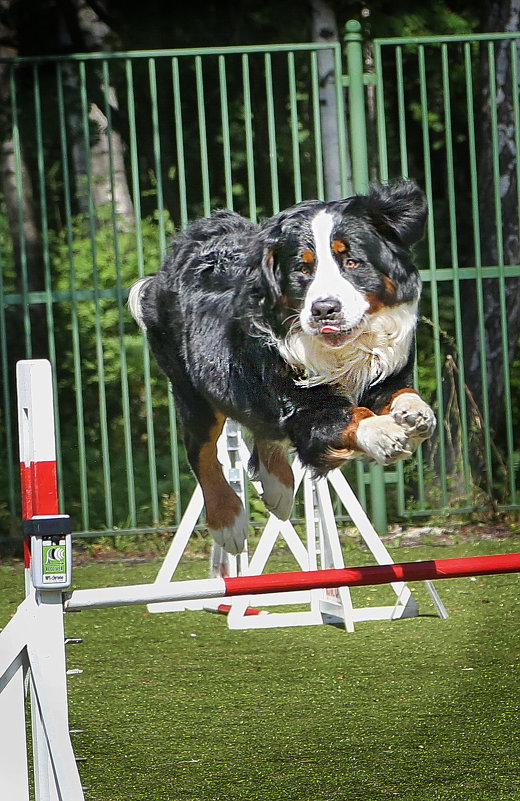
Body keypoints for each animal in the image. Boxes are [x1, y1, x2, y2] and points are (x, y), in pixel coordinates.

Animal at [128, 181, 436, 552]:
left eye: (351, 261)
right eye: (302, 270)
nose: (324, 309)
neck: (341, 353)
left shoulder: (385, 373)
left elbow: (400, 390)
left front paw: (415, 413)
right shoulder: (305, 406)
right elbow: (347, 417)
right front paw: (381, 432)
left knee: (263, 429)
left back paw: (278, 488)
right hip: (194, 390)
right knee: (201, 450)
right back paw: (229, 521)